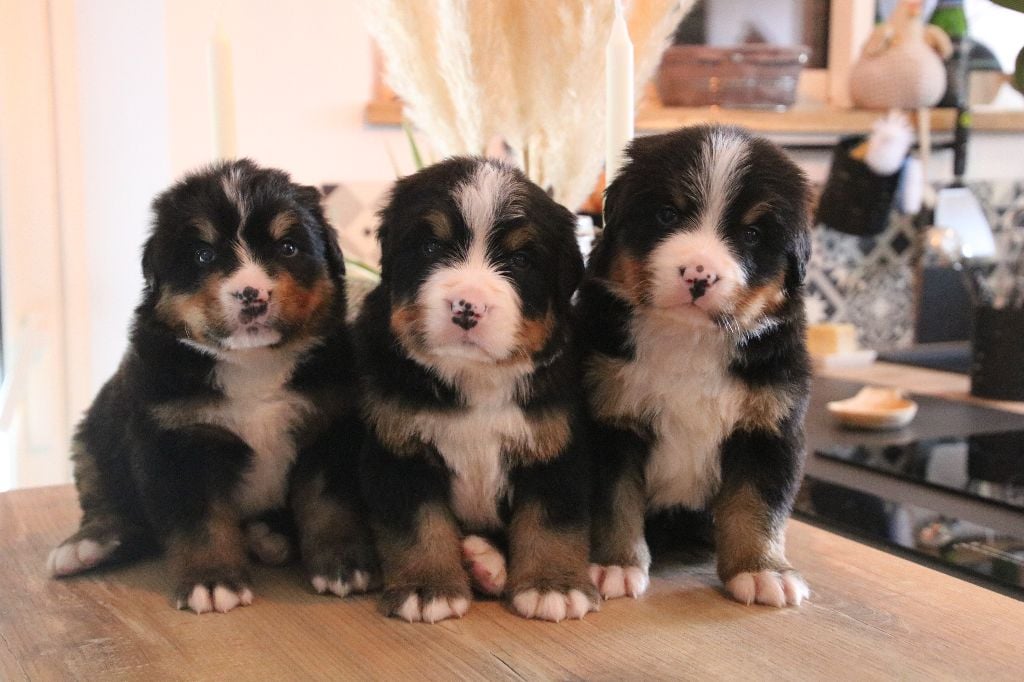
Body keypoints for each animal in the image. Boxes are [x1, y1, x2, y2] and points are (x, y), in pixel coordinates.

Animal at [356, 155, 598, 622]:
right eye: (430, 248)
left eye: (520, 259)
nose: (467, 307)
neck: (475, 378)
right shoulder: (400, 448)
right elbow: (419, 527)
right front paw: (427, 588)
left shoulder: (555, 446)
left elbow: (552, 523)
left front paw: (552, 586)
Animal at [581, 124, 811, 606]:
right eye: (667, 214)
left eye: (752, 234)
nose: (699, 275)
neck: (689, 342)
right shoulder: (611, 421)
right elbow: (615, 502)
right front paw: (615, 565)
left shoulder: (769, 427)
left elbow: (756, 505)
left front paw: (762, 571)